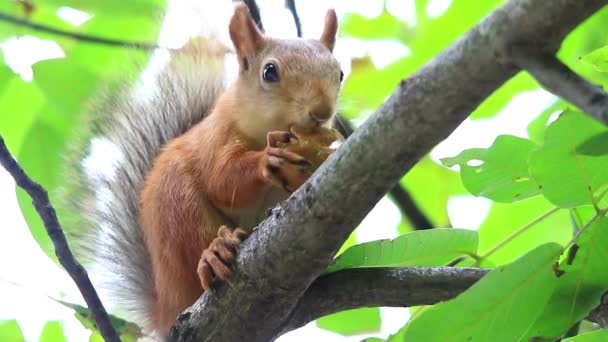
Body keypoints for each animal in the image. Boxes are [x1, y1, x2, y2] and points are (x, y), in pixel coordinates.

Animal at [67, 2, 342, 338]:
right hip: (178, 206)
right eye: (269, 71)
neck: (265, 129)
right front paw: (266, 160)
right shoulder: (214, 138)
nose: (322, 111)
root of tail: (166, 310)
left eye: (340, 73)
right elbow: (222, 180)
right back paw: (214, 254)